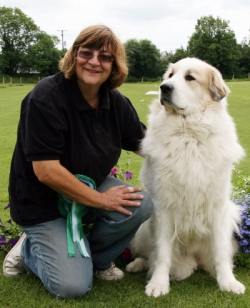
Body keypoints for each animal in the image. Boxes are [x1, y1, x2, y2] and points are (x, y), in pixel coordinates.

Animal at [128, 57, 245, 296]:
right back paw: (137, 265)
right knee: (148, 255)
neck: (189, 133)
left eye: (190, 78)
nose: (164, 88)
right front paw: (158, 284)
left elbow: (221, 253)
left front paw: (228, 282)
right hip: (144, 228)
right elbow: (162, 253)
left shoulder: (218, 206)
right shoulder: (163, 207)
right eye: (170, 76)